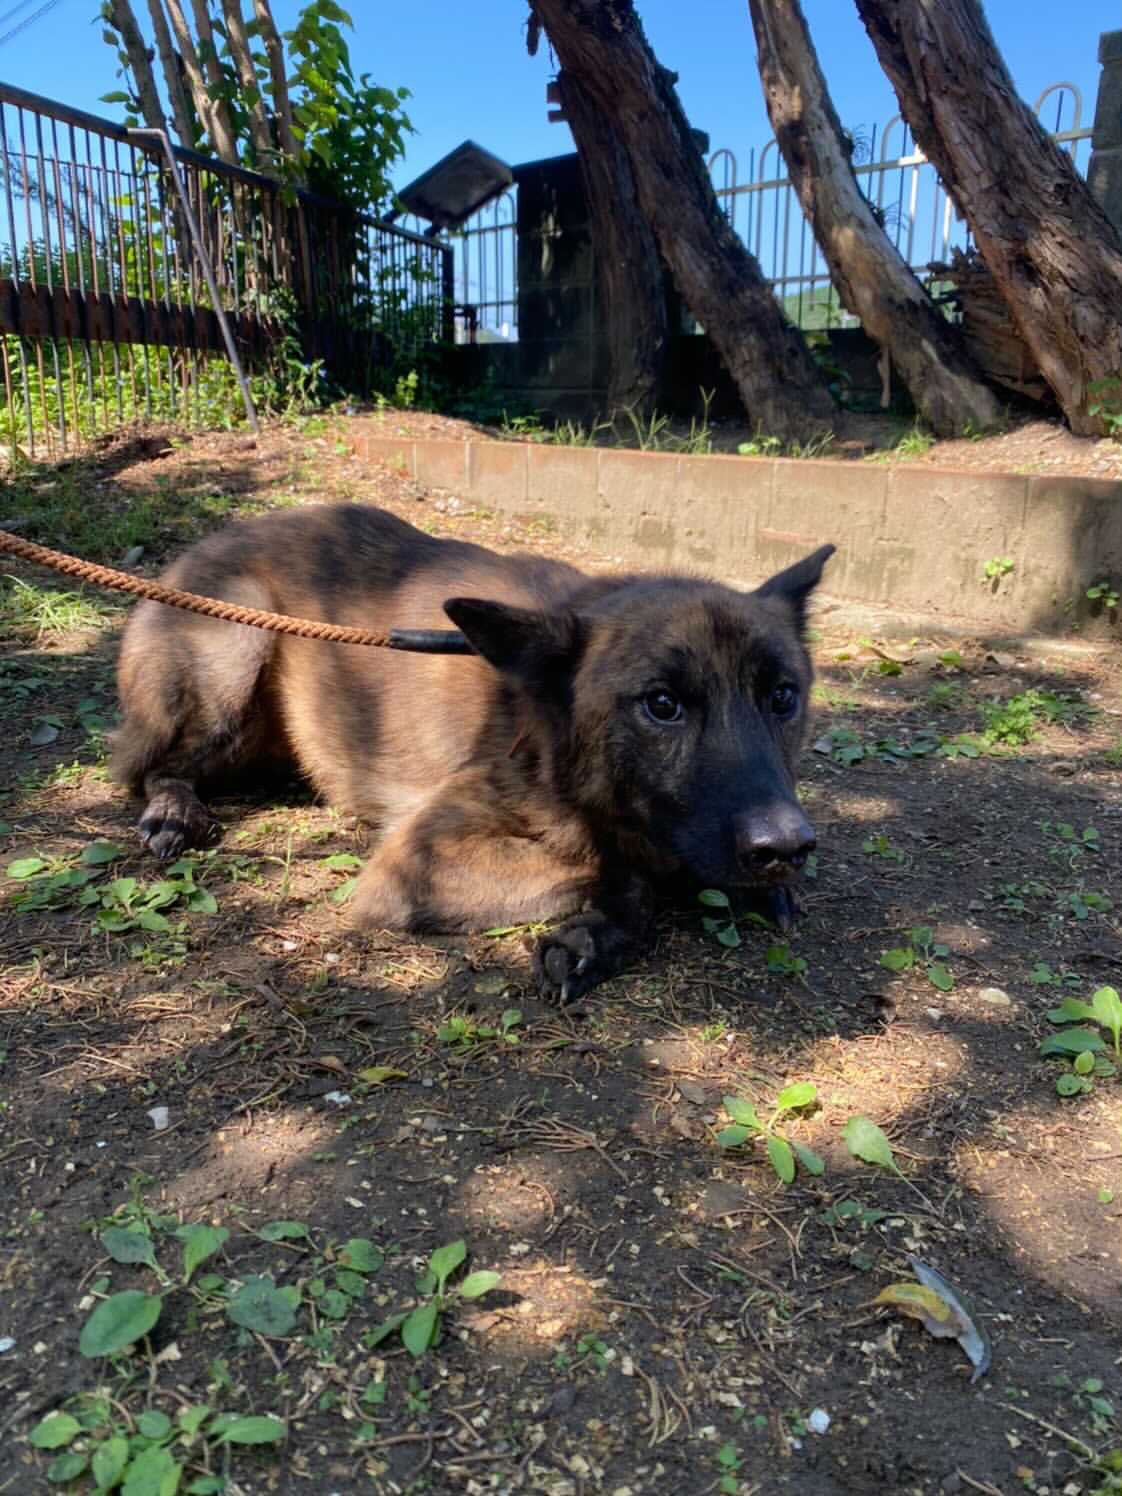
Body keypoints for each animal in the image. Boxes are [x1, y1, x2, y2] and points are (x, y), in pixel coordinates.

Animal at [111, 504, 834, 1002]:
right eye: (662, 704)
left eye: (783, 696)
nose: (785, 847)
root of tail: (203, 545)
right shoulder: (416, 862)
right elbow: (622, 873)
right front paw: (601, 928)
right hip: (237, 642)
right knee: (150, 767)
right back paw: (174, 810)